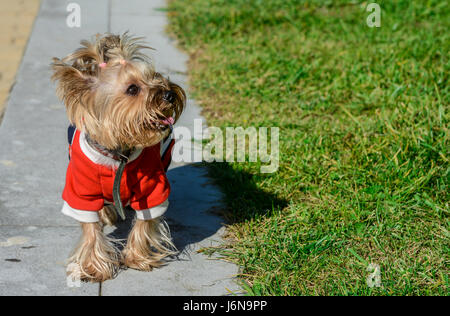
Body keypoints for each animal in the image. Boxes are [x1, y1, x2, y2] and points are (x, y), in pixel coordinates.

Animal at [51, 33, 185, 282]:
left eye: (155, 76)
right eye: (132, 89)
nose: (169, 94)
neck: (118, 153)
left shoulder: (151, 187)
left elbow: (145, 221)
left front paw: (137, 258)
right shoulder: (81, 190)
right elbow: (90, 230)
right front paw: (94, 267)